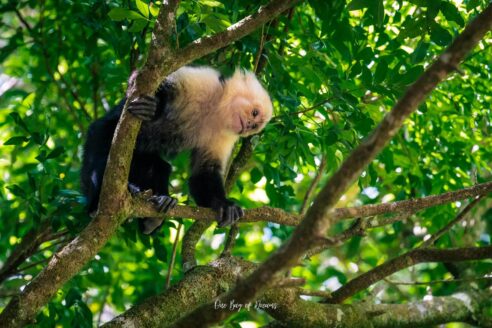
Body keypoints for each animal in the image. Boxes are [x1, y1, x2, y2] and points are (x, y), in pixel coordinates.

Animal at [80, 66, 272, 233]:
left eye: (255, 126)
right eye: (254, 113)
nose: (249, 126)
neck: (217, 111)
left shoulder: (226, 135)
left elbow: (204, 172)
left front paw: (224, 205)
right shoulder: (208, 84)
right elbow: (156, 80)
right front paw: (154, 107)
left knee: (160, 167)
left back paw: (156, 214)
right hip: (101, 134)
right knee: (103, 153)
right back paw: (99, 200)